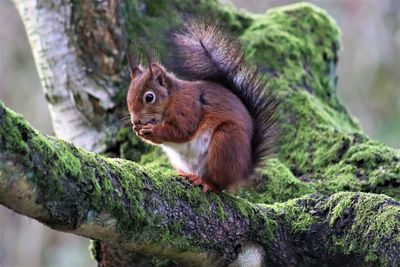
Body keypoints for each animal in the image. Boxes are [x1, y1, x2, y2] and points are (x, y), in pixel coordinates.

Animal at [126, 19, 276, 194]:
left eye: (149, 97)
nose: (135, 121)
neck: (171, 98)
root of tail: (243, 171)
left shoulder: (187, 108)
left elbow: (181, 131)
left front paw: (152, 130)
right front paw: (138, 130)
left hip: (225, 143)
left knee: (218, 184)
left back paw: (205, 182)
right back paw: (184, 174)